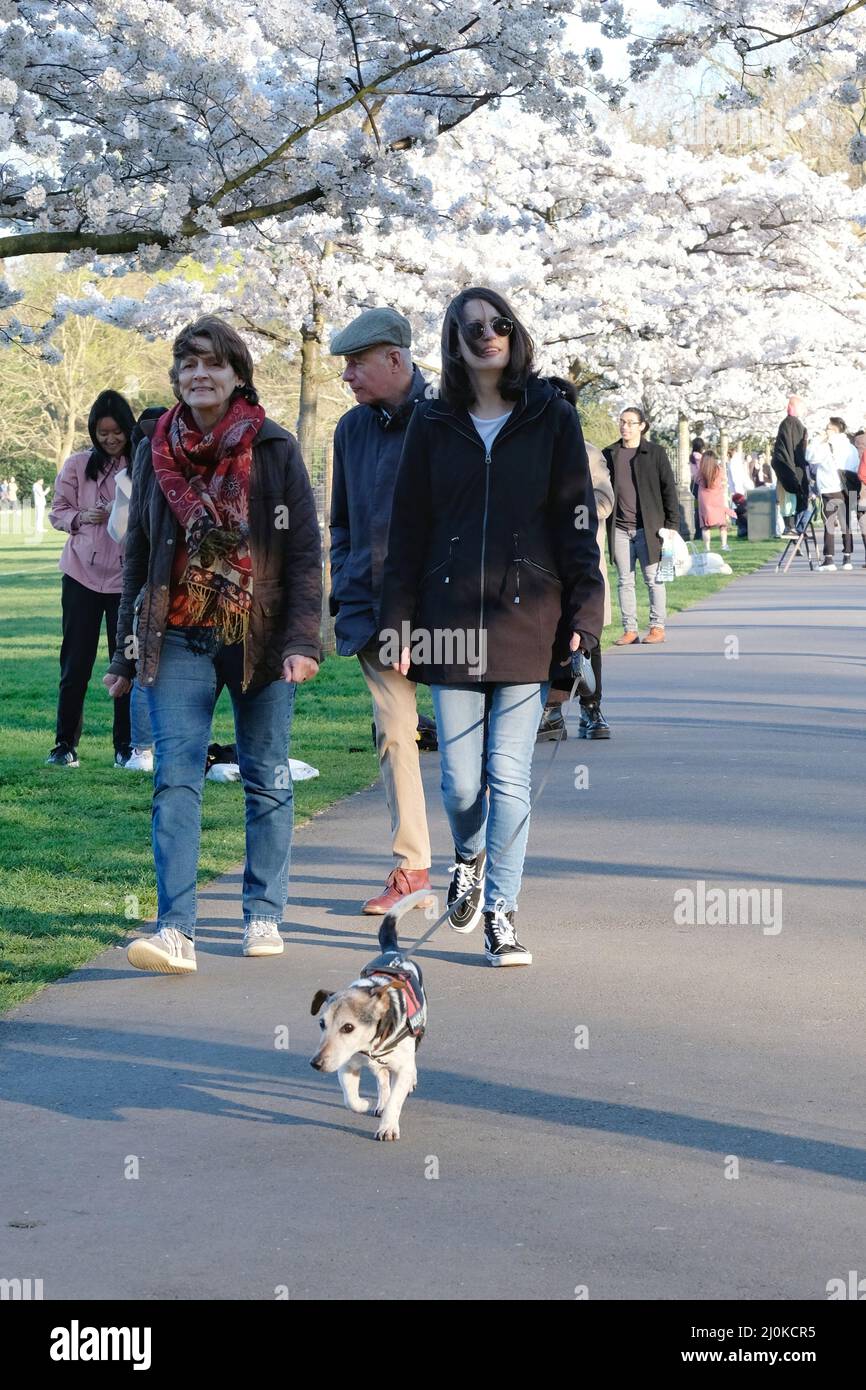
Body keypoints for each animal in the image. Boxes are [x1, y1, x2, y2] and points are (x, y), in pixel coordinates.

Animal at [312, 889, 430, 1139]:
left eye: (348, 1027)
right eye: (321, 1024)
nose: (315, 1063)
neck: (370, 1047)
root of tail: (393, 952)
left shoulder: (401, 1067)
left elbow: (396, 1098)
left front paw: (388, 1127)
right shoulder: (347, 1064)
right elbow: (350, 1099)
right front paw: (364, 1104)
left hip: (419, 1034)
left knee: (408, 1065)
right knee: (381, 1078)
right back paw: (380, 1101)